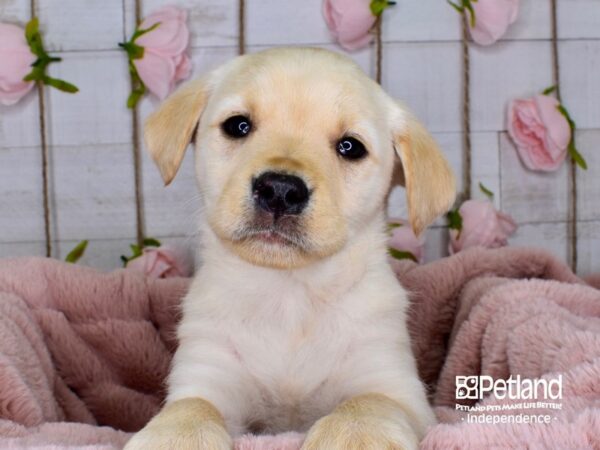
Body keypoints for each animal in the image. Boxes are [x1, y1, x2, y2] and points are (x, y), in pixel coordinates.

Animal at [125, 47, 454, 448]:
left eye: (350, 147)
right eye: (238, 126)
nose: (280, 190)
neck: (290, 295)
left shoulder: (394, 382)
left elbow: (370, 401)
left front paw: (354, 433)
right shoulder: (207, 372)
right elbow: (191, 407)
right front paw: (176, 436)